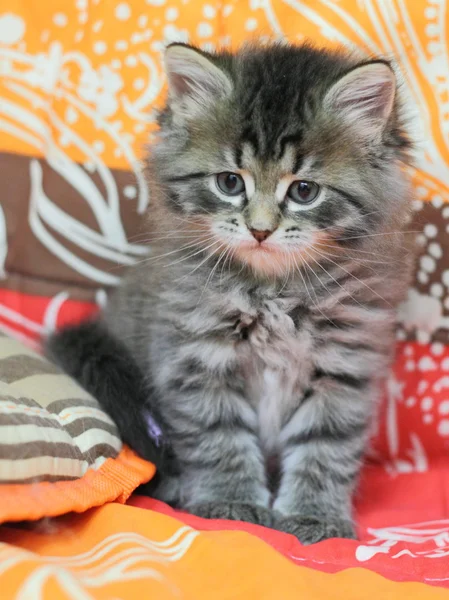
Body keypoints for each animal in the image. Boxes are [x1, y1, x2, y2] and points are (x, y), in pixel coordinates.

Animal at [45, 39, 412, 540]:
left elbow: (323, 448)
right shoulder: (197, 359)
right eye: (230, 182)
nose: (260, 230)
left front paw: (314, 515)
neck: (274, 293)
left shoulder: (344, 367)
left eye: (304, 191)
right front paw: (231, 502)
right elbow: (221, 439)